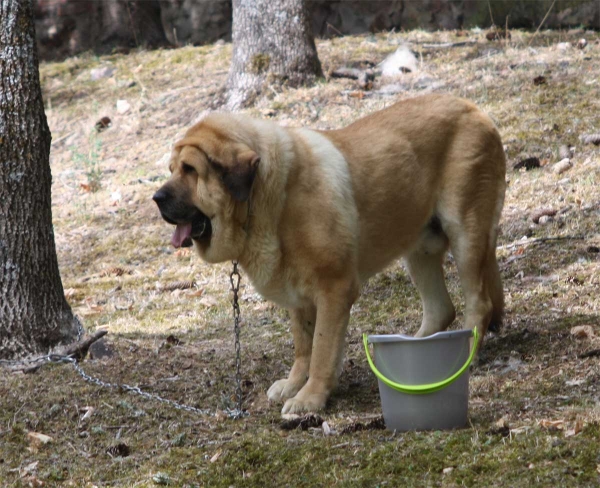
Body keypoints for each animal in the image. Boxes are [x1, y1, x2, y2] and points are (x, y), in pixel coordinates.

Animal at [152, 93, 504, 414]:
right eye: (172, 169)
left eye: (190, 169)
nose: (156, 198)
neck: (268, 199)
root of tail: (474, 109)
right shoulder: (298, 296)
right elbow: (303, 346)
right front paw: (295, 383)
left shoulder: (334, 289)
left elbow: (321, 348)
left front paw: (310, 398)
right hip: (419, 248)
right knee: (441, 309)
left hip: (466, 234)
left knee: (479, 303)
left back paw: (466, 354)